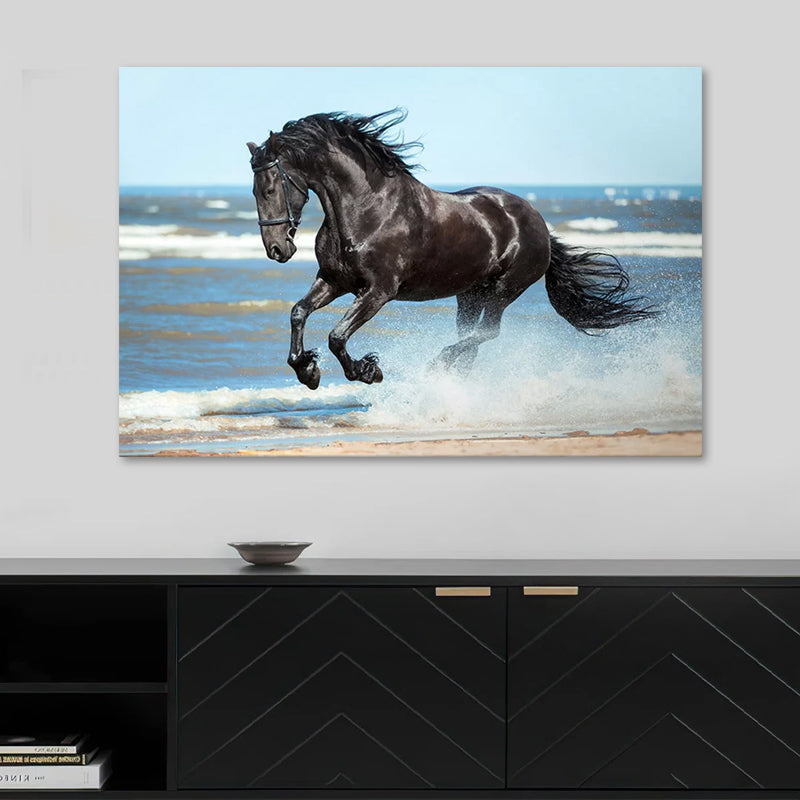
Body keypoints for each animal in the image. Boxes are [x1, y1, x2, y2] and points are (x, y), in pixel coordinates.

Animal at [247, 110, 655, 390]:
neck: (367, 208)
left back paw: (437, 366)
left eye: (270, 187)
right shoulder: (334, 280)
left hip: (505, 289)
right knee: (471, 339)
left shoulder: (379, 291)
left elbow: (337, 336)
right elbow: (298, 313)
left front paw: (367, 371)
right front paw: (307, 370)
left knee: (486, 334)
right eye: (253, 191)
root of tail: (539, 224)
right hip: (469, 294)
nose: (277, 249)